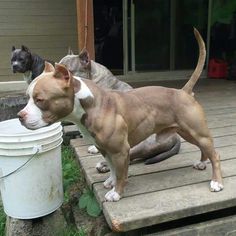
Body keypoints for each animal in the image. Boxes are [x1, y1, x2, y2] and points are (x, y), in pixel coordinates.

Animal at [18, 28, 223, 202]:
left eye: (40, 100)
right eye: (27, 97)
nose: (20, 116)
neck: (91, 104)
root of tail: (183, 91)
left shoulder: (121, 150)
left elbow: (122, 172)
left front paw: (116, 192)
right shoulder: (104, 148)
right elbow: (114, 169)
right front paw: (111, 180)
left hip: (197, 133)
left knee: (215, 154)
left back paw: (217, 182)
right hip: (187, 133)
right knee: (205, 150)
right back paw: (202, 163)